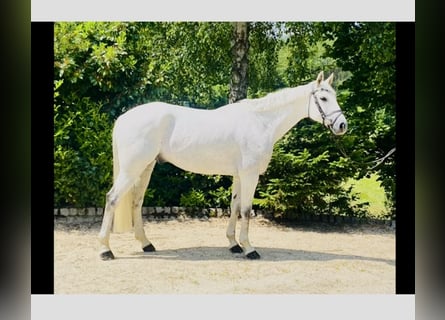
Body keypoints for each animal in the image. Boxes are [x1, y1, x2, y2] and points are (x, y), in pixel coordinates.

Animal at [98, 72, 346, 260]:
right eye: (323, 98)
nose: (342, 125)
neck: (260, 122)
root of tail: (124, 118)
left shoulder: (239, 175)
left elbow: (234, 207)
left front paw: (234, 244)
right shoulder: (250, 175)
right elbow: (246, 210)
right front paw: (249, 249)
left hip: (146, 167)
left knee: (136, 202)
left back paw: (146, 244)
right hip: (132, 169)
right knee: (112, 199)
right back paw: (105, 250)